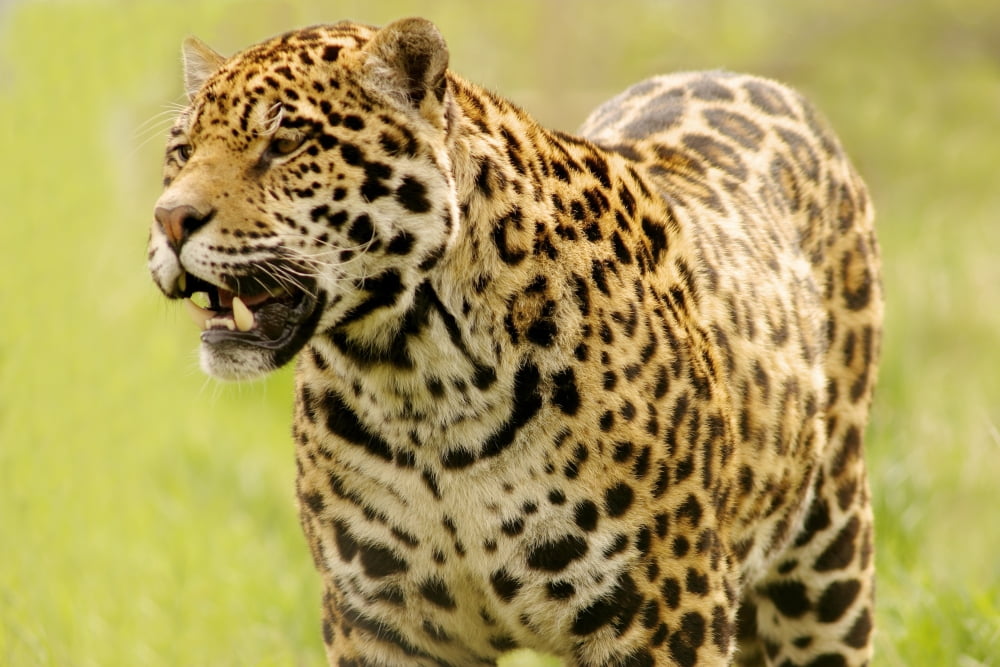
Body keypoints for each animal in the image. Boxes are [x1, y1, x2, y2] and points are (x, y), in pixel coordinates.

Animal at [148, 17, 882, 667]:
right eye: (180, 153)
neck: (417, 383)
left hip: (827, 560)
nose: (170, 219)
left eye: (287, 143)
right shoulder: (381, 624)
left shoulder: (667, 617)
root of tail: (741, 77)